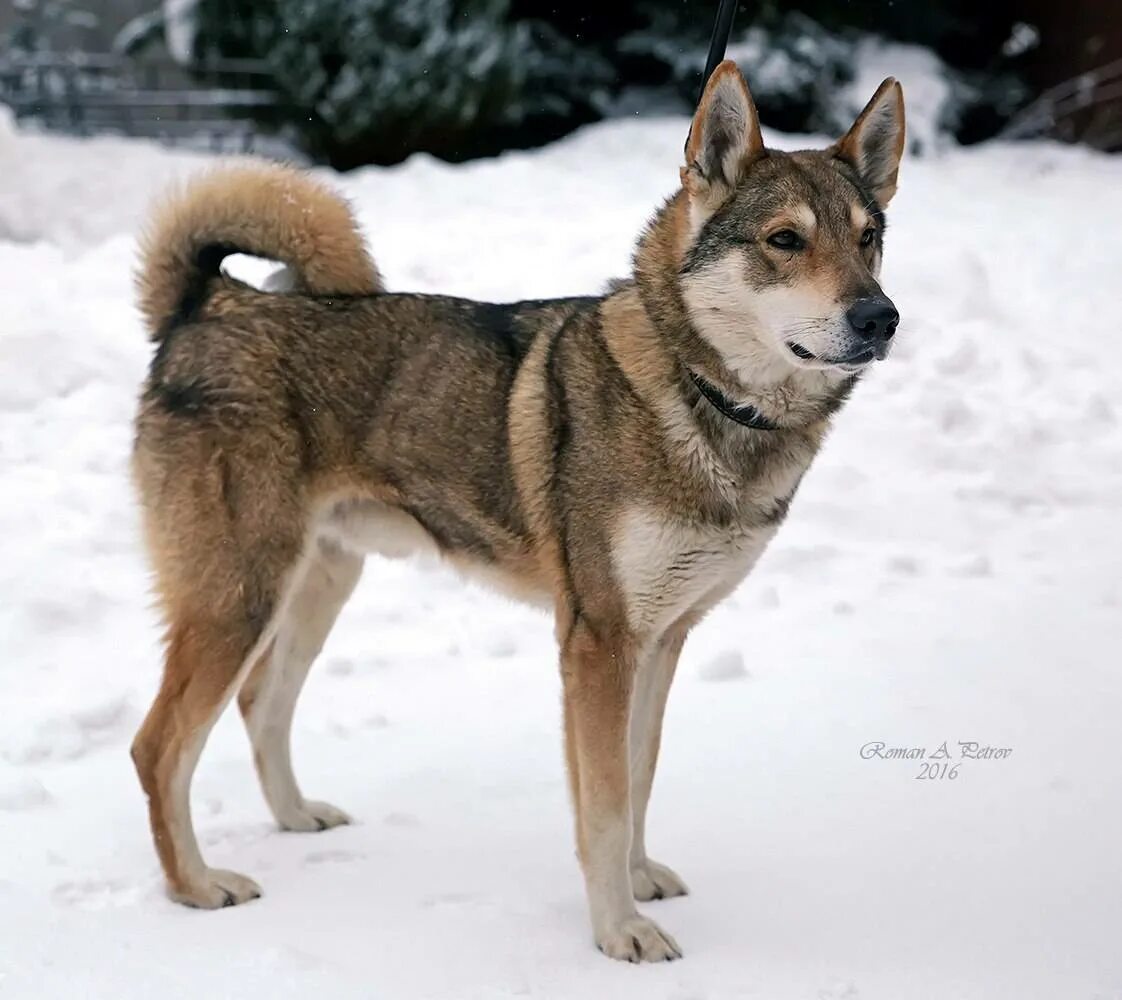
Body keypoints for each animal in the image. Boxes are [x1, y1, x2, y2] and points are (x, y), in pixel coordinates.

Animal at [129, 62, 902, 960]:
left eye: (870, 237)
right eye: (784, 240)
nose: (881, 317)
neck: (701, 395)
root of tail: (209, 303)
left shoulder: (663, 639)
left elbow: (639, 779)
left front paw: (639, 884)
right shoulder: (598, 641)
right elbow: (604, 805)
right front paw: (620, 932)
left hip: (316, 586)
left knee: (262, 705)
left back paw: (295, 818)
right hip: (239, 600)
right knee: (159, 746)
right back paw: (196, 887)